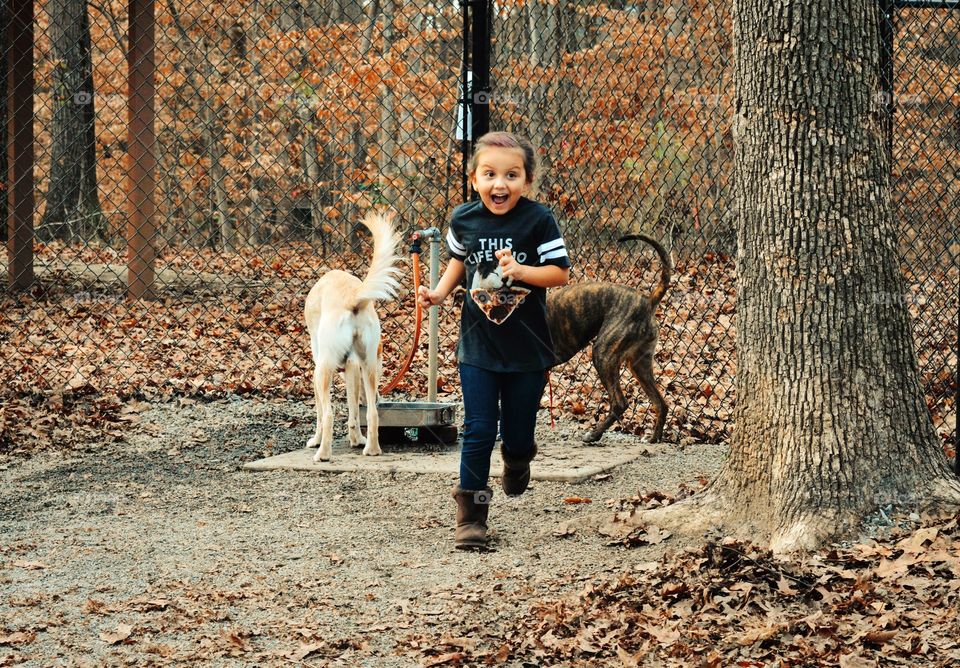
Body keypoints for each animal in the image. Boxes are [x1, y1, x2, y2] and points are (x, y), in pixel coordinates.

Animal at [306, 211, 400, 462]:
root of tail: (353, 296)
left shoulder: (321, 370)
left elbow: (320, 413)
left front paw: (316, 440)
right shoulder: (353, 368)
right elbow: (354, 412)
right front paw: (356, 439)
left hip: (323, 369)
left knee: (328, 414)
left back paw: (323, 454)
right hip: (368, 367)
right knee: (372, 413)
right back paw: (372, 449)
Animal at [544, 235, 672, 444]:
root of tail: (648, 301)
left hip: (603, 354)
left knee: (620, 403)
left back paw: (594, 434)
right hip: (639, 365)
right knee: (661, 403)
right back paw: (654, 438)